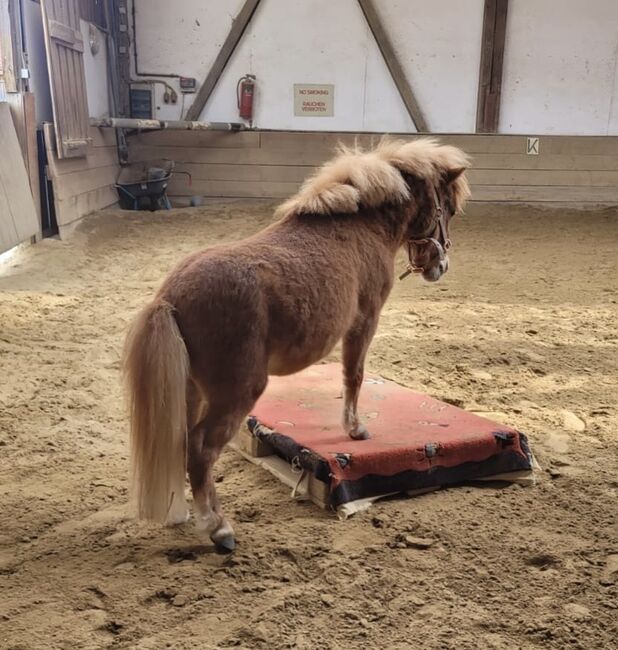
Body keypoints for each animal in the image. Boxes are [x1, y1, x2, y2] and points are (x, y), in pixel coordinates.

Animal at [122, 137, 470, 548]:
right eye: (448, 207)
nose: (440, 266)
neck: (360, 227)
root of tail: (170, 297)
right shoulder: (364, 321)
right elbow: (354, 375)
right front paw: (356, 430)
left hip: (191, 391)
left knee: (181, 442)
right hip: (236, 393)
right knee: (201, 450)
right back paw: (218, 527)